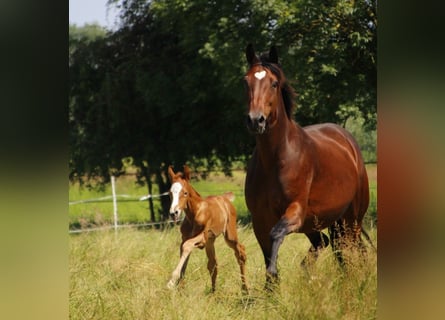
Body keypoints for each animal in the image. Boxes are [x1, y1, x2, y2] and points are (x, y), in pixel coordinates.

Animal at [241, 43, 370, 286]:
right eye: (246, 81)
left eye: (274, 83)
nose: (256, 120)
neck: (275, 160)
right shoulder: (259, 220)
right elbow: (267, 252)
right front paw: (271, 287)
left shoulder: (295, 211)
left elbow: (276, 234)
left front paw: (274, 273)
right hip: (321, 222)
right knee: (328, 244)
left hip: (352, 219)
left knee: (354, 249)